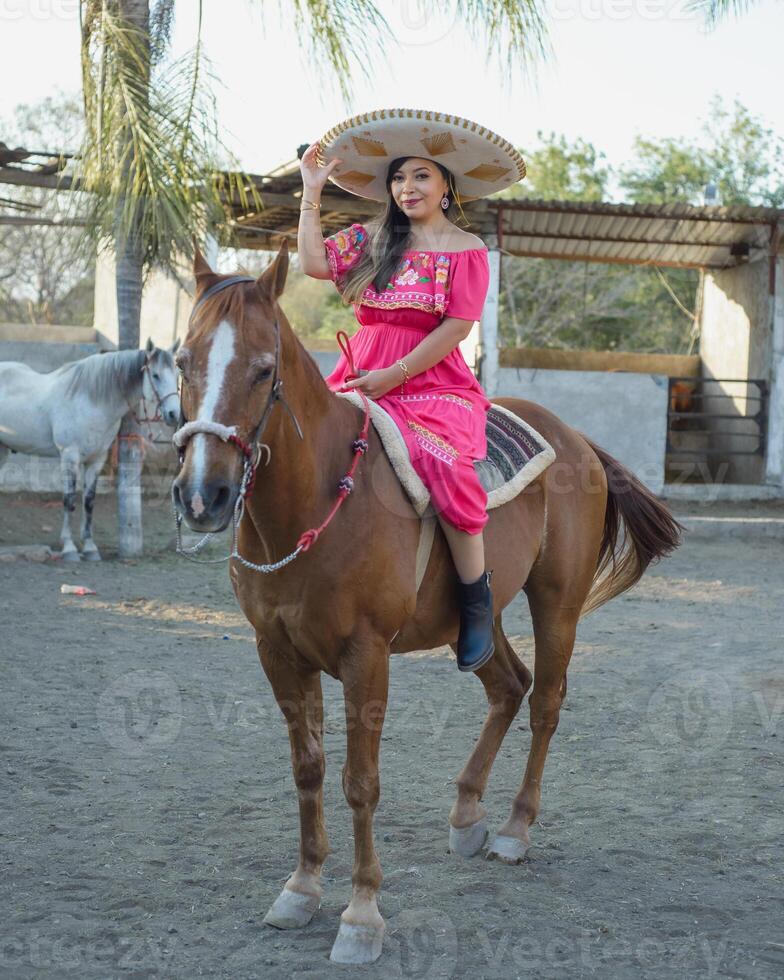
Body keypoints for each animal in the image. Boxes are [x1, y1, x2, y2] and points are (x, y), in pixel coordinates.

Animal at [0, 338, 179, 560]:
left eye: (177, 374)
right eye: (155, 375)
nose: (174, 414)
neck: (91, 401)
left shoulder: (97, 459)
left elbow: (89, 501)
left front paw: (90, 547)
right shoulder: (70, 456)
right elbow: (69, 499)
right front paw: (69, 548)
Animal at [170, 243, 680, 964]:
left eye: (264, 369)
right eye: (182, 361)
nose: (202, 496)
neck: (315, 496)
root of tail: (575, 438)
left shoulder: (366, 657)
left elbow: (360, 781)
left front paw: (361, 914)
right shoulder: (277, 653)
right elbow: (307, 770)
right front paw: (301, 889)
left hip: (557, 603)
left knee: (547, 702)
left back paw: (515, 830)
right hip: (477, 620)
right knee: (509, 685)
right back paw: (467, 814)